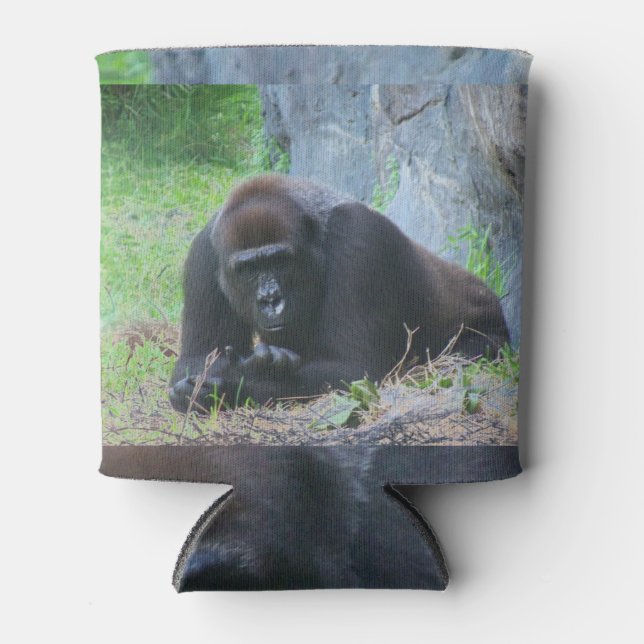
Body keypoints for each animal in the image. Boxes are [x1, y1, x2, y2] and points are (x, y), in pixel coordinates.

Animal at [169, 174, 509, 413]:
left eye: (280, 261)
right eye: (248, 269)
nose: (270, 300)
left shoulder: (359, 237)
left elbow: (353, 368)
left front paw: (238, 381)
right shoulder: (204, 251)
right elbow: (196, 359)